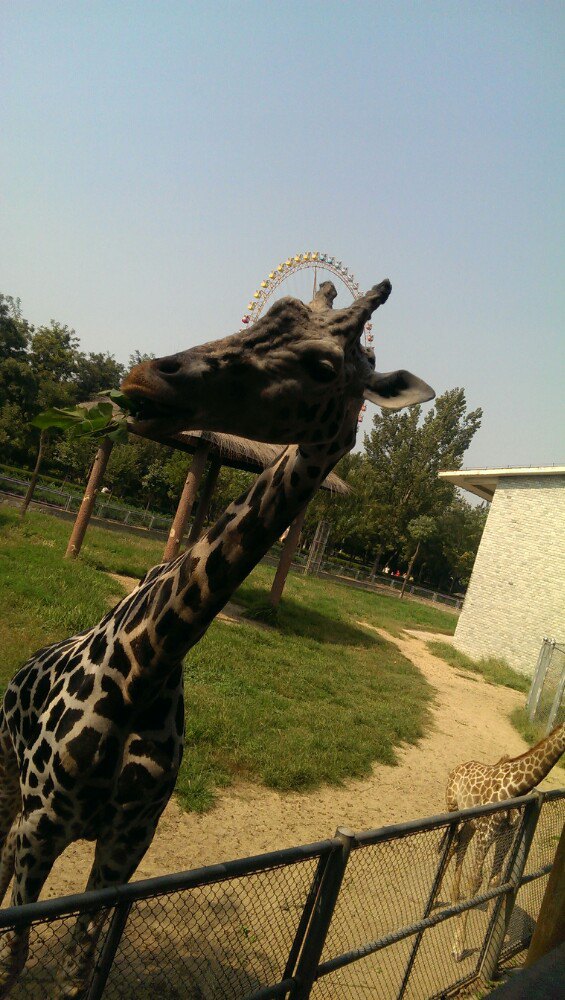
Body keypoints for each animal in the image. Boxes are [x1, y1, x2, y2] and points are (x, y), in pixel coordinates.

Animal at [0, 278, 436, 996]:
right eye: (263, 319)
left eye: (323, 366)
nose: (148, 376)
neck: (148, 663)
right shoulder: (45, 825)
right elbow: (15, 959)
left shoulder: (126, 847)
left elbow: (77, 968)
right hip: (12, 783)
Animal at [440, 720, 564, 960]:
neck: (516, 787)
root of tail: (457, 767)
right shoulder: (486, 834)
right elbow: (476, 881)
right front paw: (458, 946)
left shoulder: (506, 836)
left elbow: (496, 881)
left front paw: (488, 944)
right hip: (453, 809)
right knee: (451, 846)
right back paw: (437, 899)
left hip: (470, 823)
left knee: (460, 844)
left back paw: (455, 899)